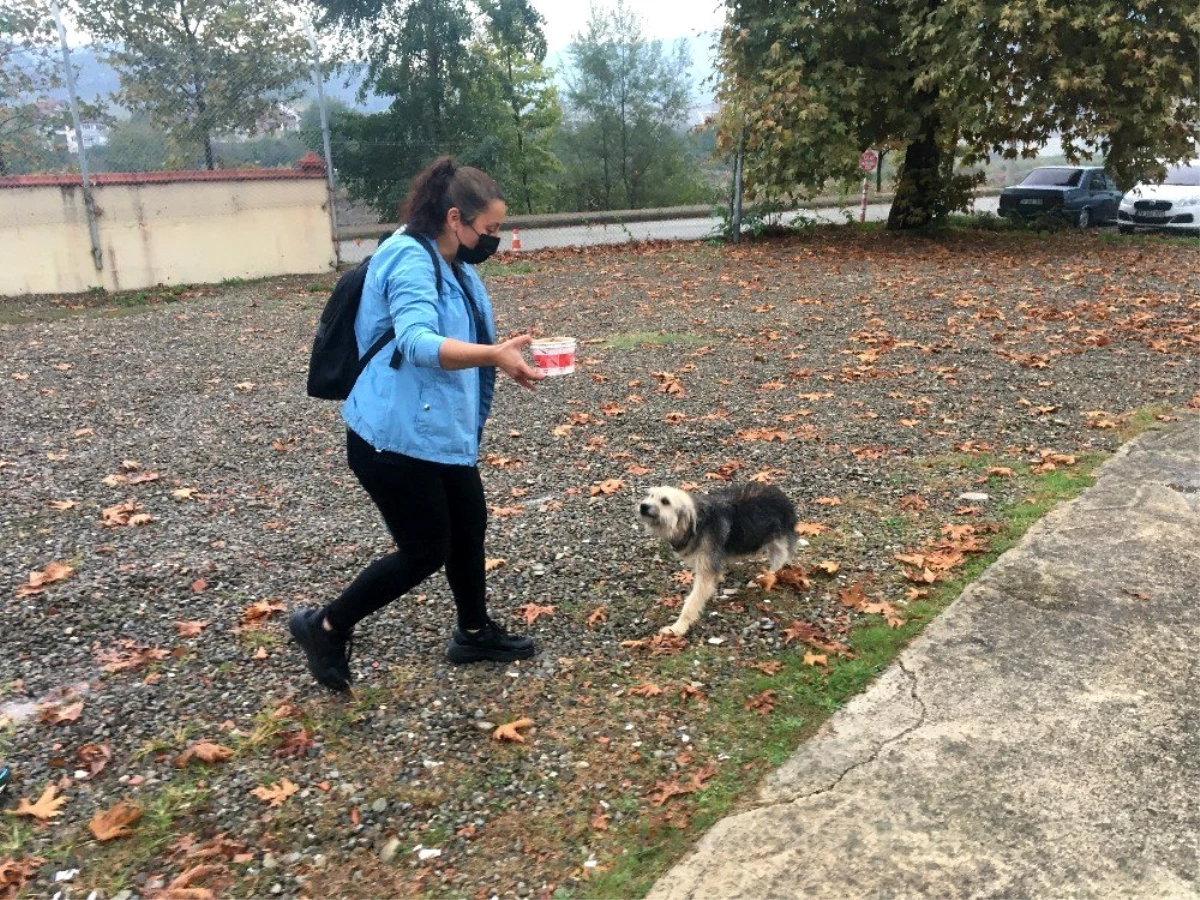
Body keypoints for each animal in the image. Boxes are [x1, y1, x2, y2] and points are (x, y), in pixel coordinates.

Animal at [638, 482, 796, 638]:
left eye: (665, 501)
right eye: (650, 495)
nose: (643, 506)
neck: (696, 524)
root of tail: (782, 497)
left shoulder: (706, 570)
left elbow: (692, 602)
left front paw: (678, 628)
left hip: (777, 538)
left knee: (780, 557)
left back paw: (768, 576)